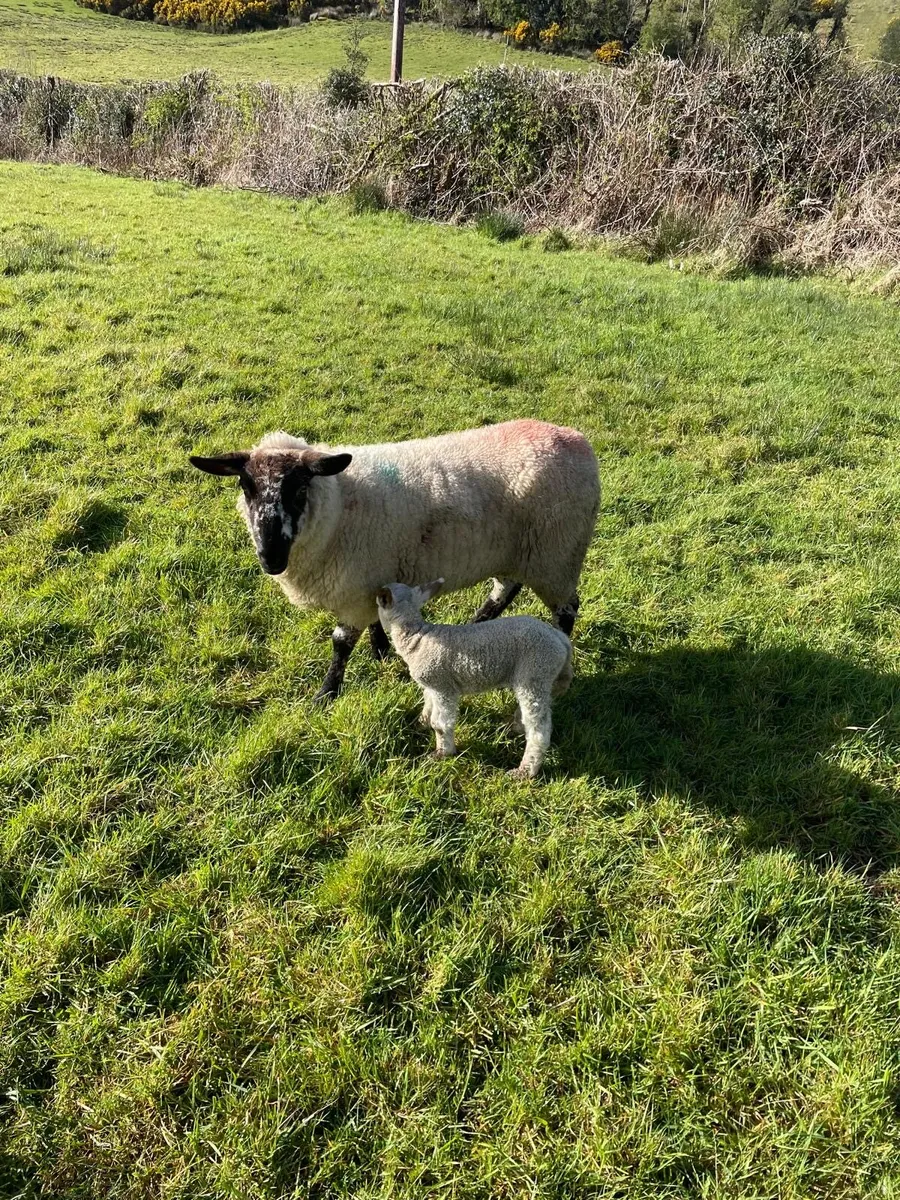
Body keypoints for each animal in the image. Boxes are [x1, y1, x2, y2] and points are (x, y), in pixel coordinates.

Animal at [189, 418, 599, 701]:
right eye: (246, 487)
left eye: (299, 488)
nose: (270, 558)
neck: (340, 504)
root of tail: (574, 438)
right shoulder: (371, 576)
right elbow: (377, 617)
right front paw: (382, 651)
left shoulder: (356, 585)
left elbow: (340, 643)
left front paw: (326, 694)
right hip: (518, 553)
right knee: (505, 589)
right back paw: (475, 624)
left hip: (558, 556)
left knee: (567, 609)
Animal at [376, 579, 572, 778]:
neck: (416, 639)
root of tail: (560, 639)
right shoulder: (431, 683)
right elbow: (428, 705)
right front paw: (420, 724)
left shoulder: (443, 686)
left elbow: (440, 723)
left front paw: (442, 753)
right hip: (543, 675)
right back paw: (514, 725)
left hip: (534, 672)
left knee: (539, 731)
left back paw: (524, 771)